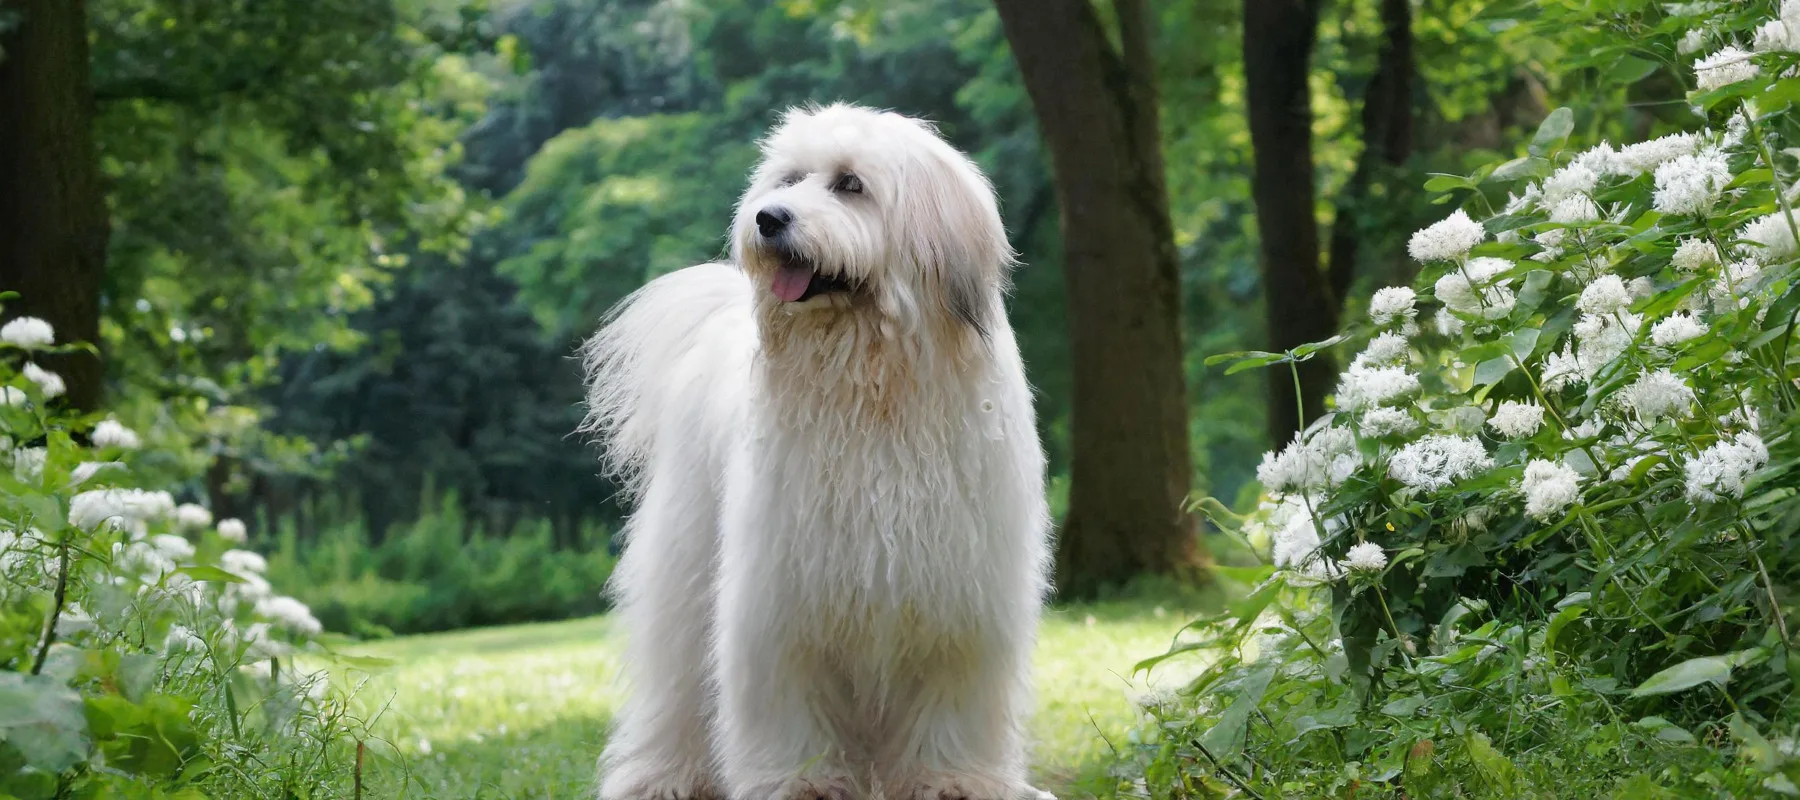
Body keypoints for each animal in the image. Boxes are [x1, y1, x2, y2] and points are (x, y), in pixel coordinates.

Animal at [583, 103, 1051, 800]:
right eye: (788, 179)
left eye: (850, 185)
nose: (768, 218)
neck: (873, 387)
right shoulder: (782, 598)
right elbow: (788, 701)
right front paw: (802, 782)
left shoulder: (959, 602)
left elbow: (950, 702)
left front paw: (951, 779)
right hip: (687, 566)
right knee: (675, 675)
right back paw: (661, 776)